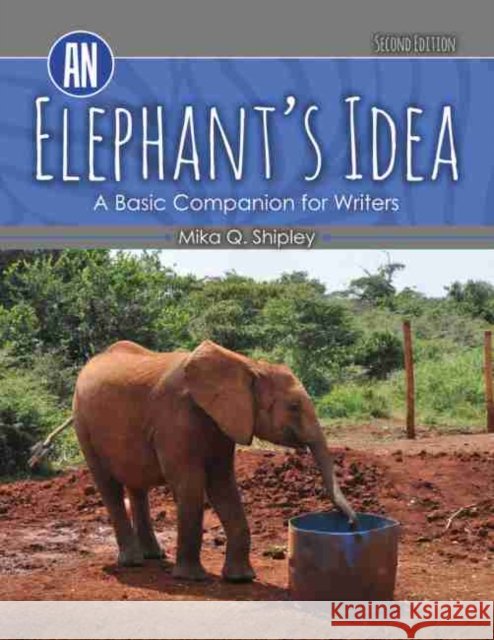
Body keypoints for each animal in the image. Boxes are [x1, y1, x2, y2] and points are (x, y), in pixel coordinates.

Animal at [68, 339, 356, 582]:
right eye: (294, 407)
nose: (352, 524)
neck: (247, 365)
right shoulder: (175, 419)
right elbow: (191, 485)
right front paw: (191, 578)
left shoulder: (224, 422)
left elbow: (223, 484)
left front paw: (240, 579)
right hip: (83, 424)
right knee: (108, 485)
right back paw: (132, 562)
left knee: (137, 486)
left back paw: (154, 556)